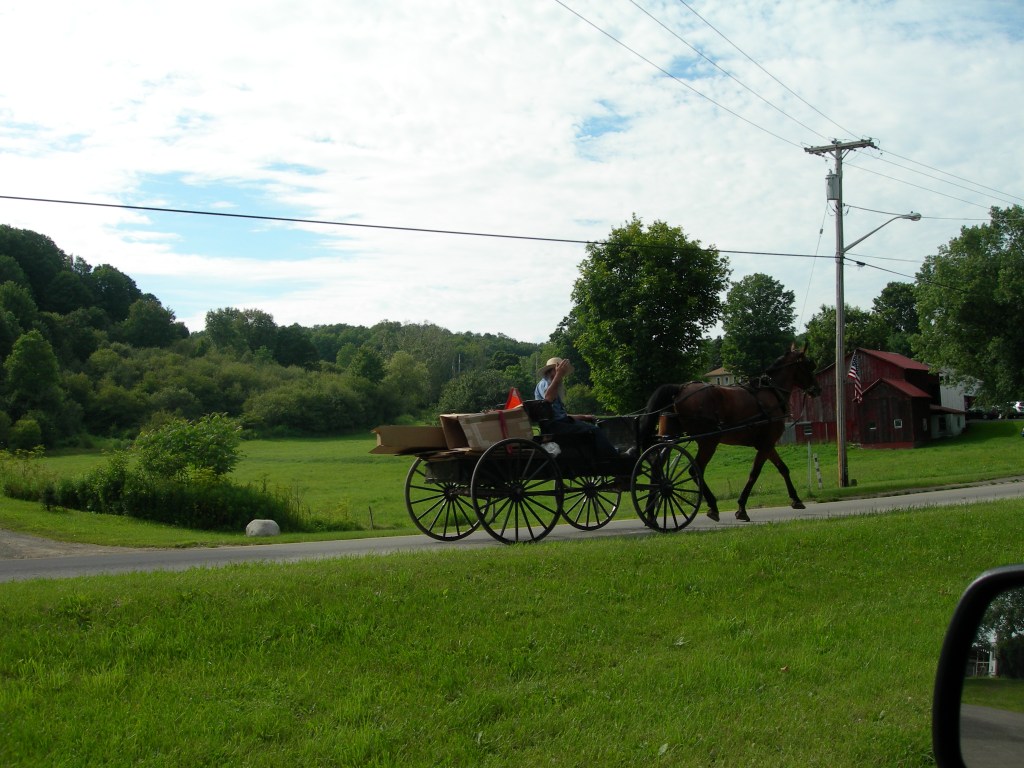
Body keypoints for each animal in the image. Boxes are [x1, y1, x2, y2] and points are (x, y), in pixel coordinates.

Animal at [639, 344, 820, 522]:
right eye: (809, 365)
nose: (817, 389)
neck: (772, 393)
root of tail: (679, 389)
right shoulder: (766, 444)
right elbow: (754, 474)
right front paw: (741, 509)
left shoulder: (766, 444)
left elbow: (783, 468)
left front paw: (796, 499)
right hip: (709, 442)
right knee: (694, 471)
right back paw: (712, 506)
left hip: (669, 438)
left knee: (657, 468)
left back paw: (651, 513)